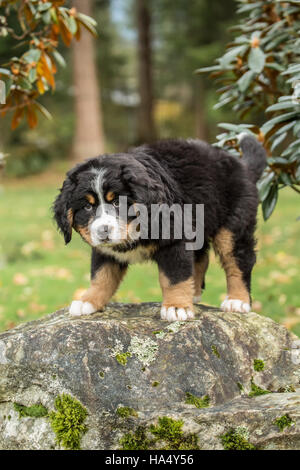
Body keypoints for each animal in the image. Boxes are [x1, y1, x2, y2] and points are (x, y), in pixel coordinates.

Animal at [52, 134, 266, 322]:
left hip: (233, 227)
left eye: (117, 203)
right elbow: (101, 276)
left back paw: (237, 300)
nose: (103, 230)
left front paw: (177, 307)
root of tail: (241, 165)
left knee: (238, 262)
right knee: (200, 259)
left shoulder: (175, 238)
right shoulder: (104, 251)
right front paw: (88, 301)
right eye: (88, 207)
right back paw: (194, 293)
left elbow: (174, 277)